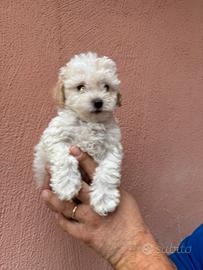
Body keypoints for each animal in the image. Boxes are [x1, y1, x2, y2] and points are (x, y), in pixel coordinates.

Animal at [32, 52, 123, 216]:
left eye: (106, 87)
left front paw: (105, 200)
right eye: (80, 87)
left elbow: (108, 171)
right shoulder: (55, 137)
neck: (89, 122)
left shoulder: (112, 147)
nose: (98, 102)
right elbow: (64, 158)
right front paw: (66, 186)